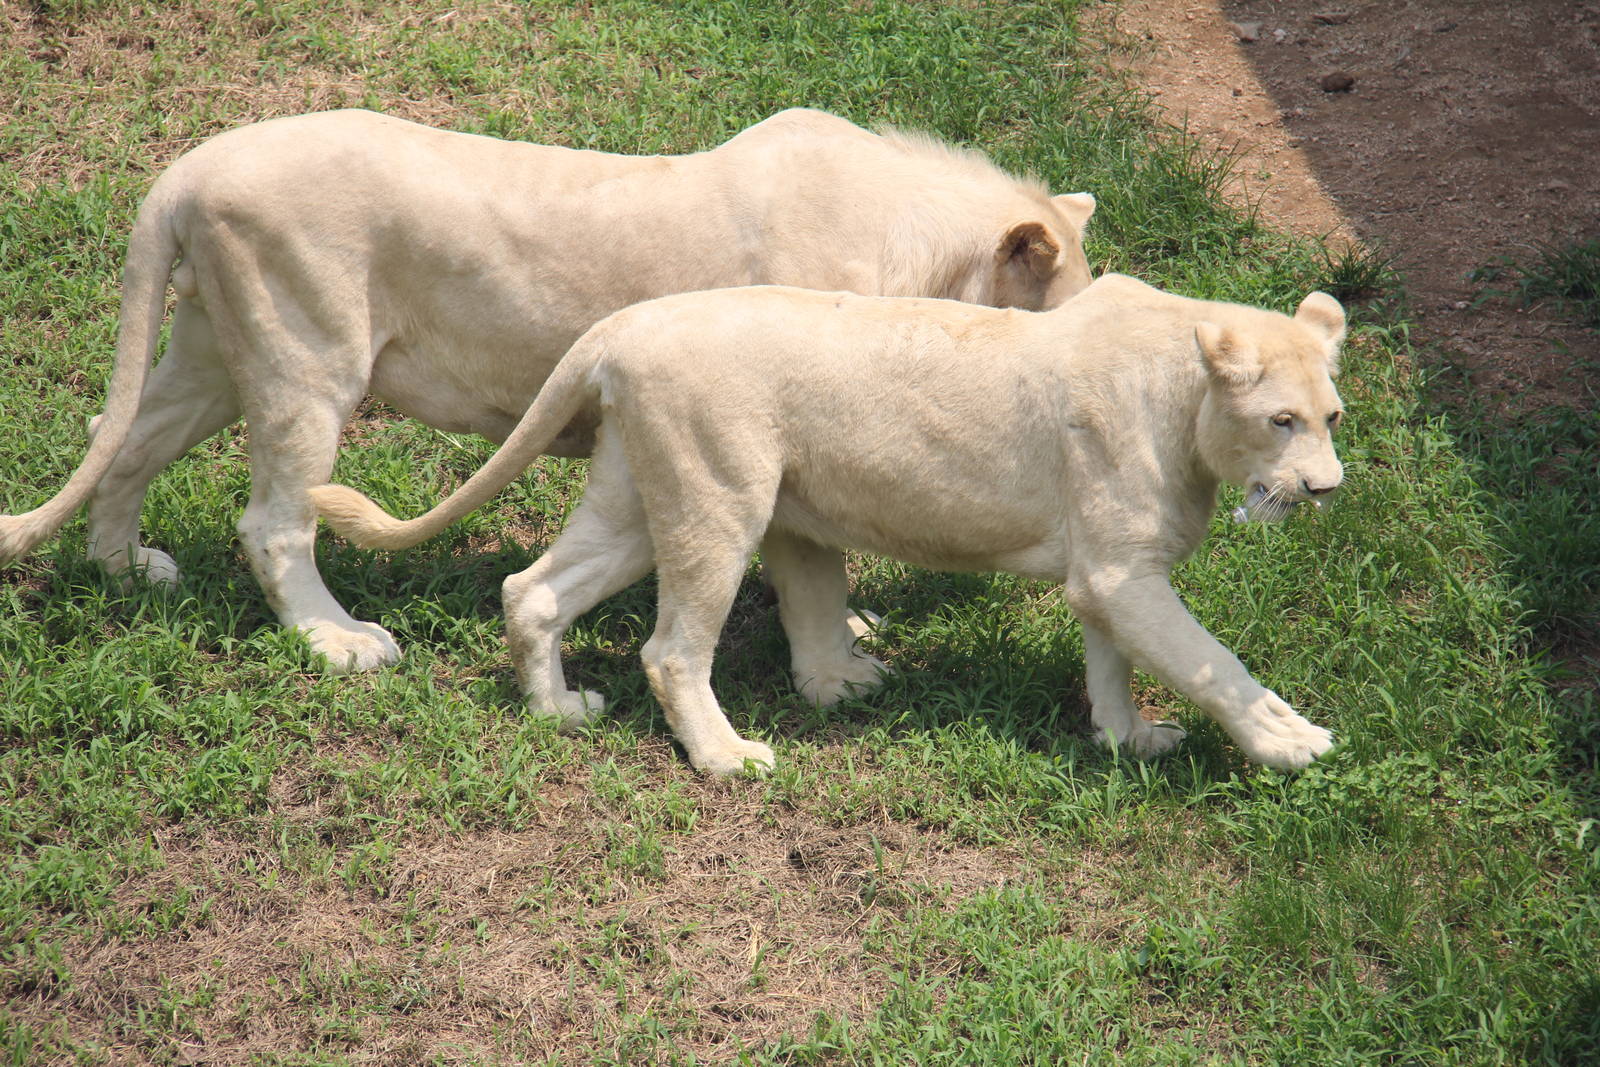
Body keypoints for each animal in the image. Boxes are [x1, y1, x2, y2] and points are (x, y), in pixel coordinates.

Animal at [0, 107, 1096, 673]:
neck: (928, 263)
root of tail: (185, 171)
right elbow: (807, 556)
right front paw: (843, 642)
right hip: (305, 358)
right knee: (272, 521)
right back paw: (342, 641)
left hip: (214, 353)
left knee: (124, 439)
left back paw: (125, 570)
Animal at [310, 273, 1348, 775]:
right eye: (1281, 420)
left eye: (1333, 416)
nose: (1329, 488)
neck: (1185, 395)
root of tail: (622, 325)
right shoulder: (1123, 572)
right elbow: (1211, 661)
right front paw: (1291, 742)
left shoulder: (1109, 571)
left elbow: (1117, 665)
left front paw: (1128, 741)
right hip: (719, 498)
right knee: (671, 650)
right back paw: (727, 758)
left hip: (638, 495)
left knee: (531, 589)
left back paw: (559, 711)